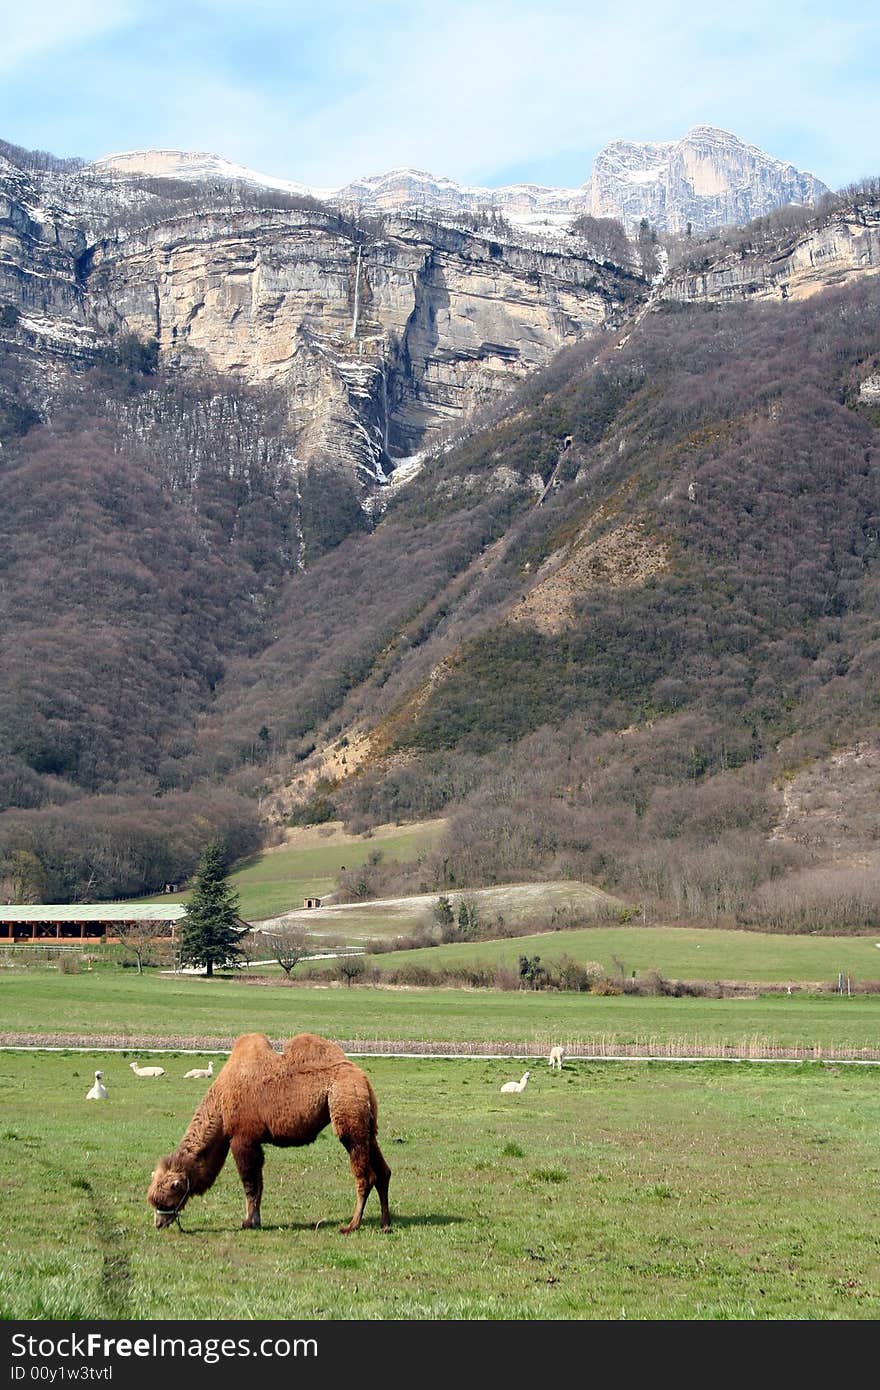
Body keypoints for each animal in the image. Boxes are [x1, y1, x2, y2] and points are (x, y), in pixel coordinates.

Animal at [145, 1034, 389, 1239]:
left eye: (165, 1200)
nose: (158, 1223)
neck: (220, 1109)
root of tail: (363, 1078)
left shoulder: (242, 1138)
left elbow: (250, 1183)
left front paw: (248, 1222)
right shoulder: (255, 1142)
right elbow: (259, 1183)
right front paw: (256, 1220)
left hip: (346, 1110)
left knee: (365, 1174)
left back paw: (351, 1225)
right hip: (366, 1123)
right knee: (383, 1171)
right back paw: (385, 1223)